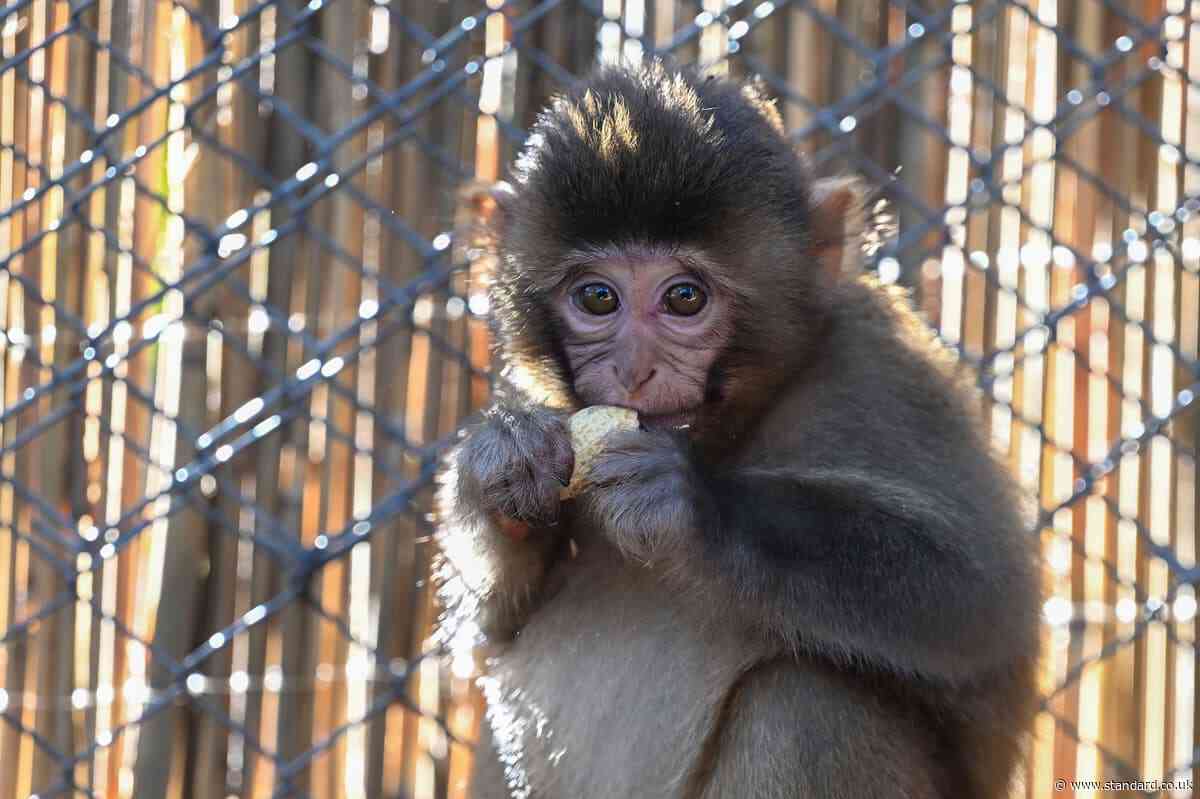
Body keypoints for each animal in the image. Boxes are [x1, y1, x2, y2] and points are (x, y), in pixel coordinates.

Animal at [434, 63, 1041, 799]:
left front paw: (690, 507)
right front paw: (500, 466)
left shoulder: (884, 373)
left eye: (684, 297)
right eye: (598, 297)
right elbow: (490, 633)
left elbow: (979, 598)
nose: (633, 369)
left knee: (807, 704)